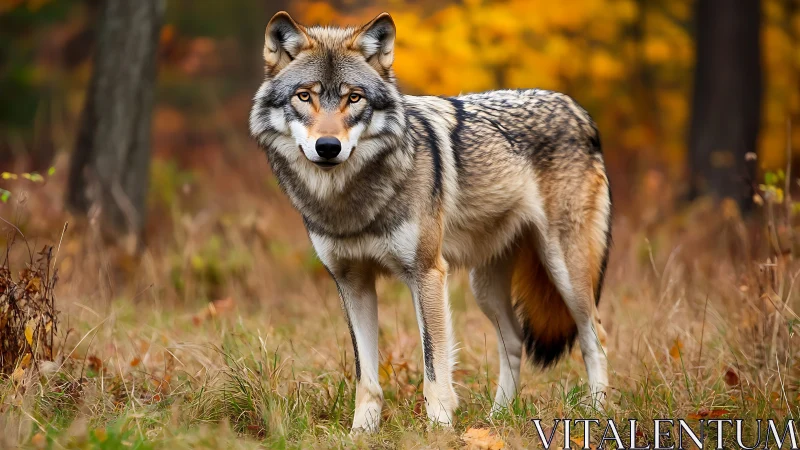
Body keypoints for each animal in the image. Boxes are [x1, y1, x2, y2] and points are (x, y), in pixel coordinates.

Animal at [250, 11, 612, 432]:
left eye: (354, 98)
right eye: (304, 96)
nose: (328, 147)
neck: (350, 203)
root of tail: (576, 108)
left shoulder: (426, 274)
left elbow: (434, 365)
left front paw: (440, 430)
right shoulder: (352, 282)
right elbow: (365, 375)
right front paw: (361, 432)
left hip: (565, 272)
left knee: (595, 336)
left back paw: (597, 414)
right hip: (484, 287)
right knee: (514, 340)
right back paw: (496, 419)